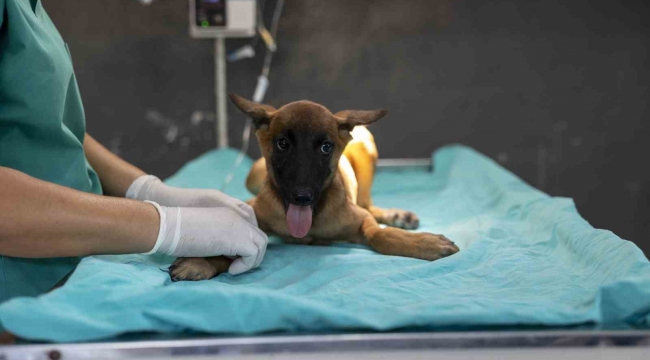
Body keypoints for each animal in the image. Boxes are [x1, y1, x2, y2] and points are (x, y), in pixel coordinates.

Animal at [170, 95, 458, 282]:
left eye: (326, 147)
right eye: (283, 143)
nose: (302, 197)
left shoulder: (361, 220)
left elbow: (380, 235)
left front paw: (421, 242)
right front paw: (204, 261)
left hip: (366, 144)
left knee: (368, 203)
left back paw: (398, 216)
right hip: (253, 175)